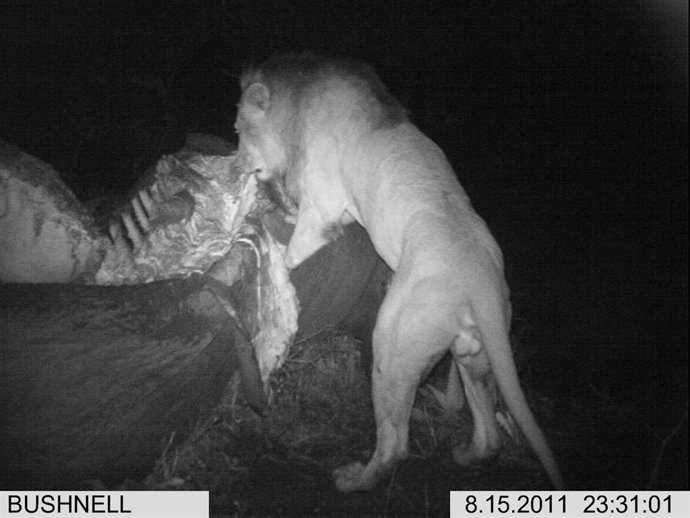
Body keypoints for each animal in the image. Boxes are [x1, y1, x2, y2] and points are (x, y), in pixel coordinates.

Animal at [234, 52, 564, 491]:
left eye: (239, 131)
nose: (236, 164)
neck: (299, 102)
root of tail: (482, 285)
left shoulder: (322, 207)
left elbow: (294, 247)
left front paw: (275, 263)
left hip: (393, 344)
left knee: (394, 446)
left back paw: (354, 479)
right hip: (473, 354)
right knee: (490, 437)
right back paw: (465, 455)